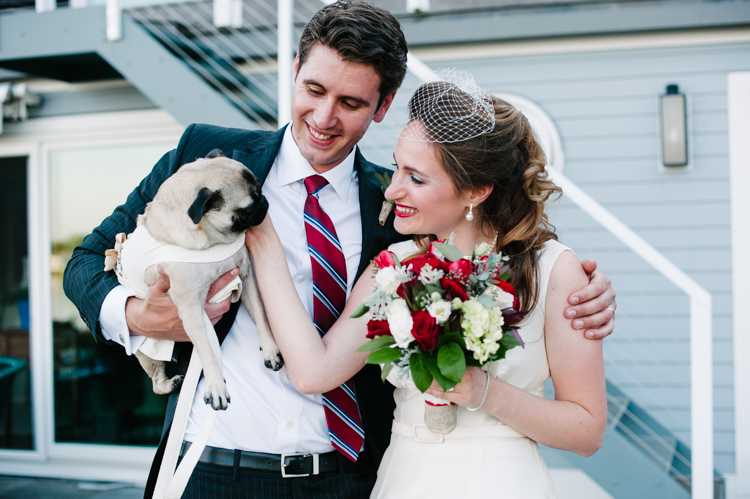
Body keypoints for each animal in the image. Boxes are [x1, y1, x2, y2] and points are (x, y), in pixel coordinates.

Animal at [104, 150, 284, 412]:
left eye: (261, 188)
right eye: (248, 207)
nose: (265, 202)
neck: (213, 241)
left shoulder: (245, 277)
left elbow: (261, 317)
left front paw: (270, 349)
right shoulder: (191, 309)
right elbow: (208, 351)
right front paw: (216, 386)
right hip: (148, 352)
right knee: (155, 383)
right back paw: (170, 383)